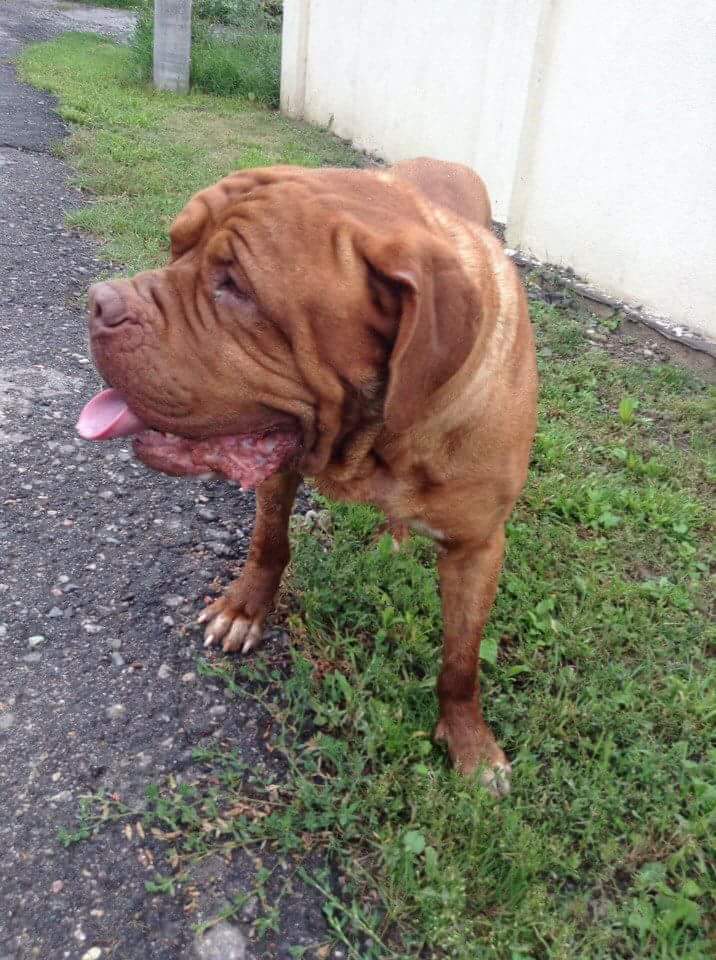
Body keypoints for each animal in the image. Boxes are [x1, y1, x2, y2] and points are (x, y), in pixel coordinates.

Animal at [77, 158, 537, 796]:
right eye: (174, 246)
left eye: (236, 287)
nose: (98, 303)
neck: (373, 443)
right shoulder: (281, 462)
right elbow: (269, 543)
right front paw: (244, 610)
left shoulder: (478, 547)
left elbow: (461, 660)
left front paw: (470, 742)